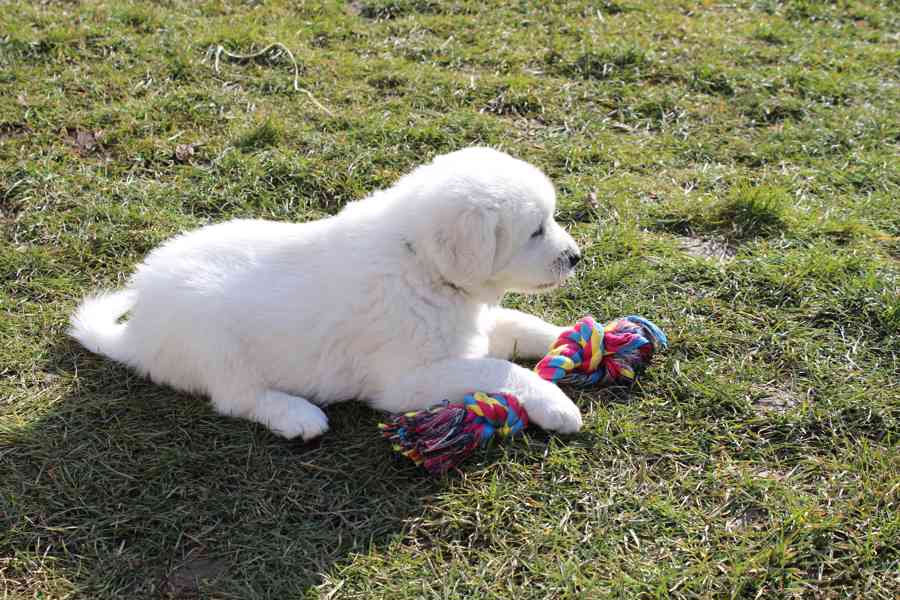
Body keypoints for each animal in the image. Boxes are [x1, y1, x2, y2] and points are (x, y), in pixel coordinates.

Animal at [70, 149, 584, 440]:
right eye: (536, 231)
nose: (576, 257)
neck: (420, 262)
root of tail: (136, 333)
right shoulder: (405, 380)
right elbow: (498, 369)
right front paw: (556, 404)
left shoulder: (470, 326)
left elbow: (521, 325)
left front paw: (574, 337)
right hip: (211, 341)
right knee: (236, 397)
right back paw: (296, 416)